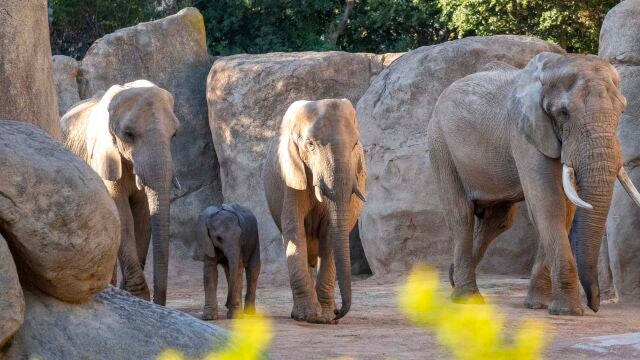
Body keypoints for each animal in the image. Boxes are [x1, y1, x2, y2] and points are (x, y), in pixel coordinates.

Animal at [61, 80, 180, 306]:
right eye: (128, 135)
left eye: (174, 134)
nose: (158, 302)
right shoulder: (105, 156)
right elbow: (122, 216)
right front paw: (138, 297)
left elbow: (143, 217)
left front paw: (133, 297)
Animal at [262, 98, 368, 324]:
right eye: (310, 145)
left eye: (355, 145)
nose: (338, 314)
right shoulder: (291, 175)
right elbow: (295, 230)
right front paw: (308, 316)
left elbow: (330, 234)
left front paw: (325, 317)